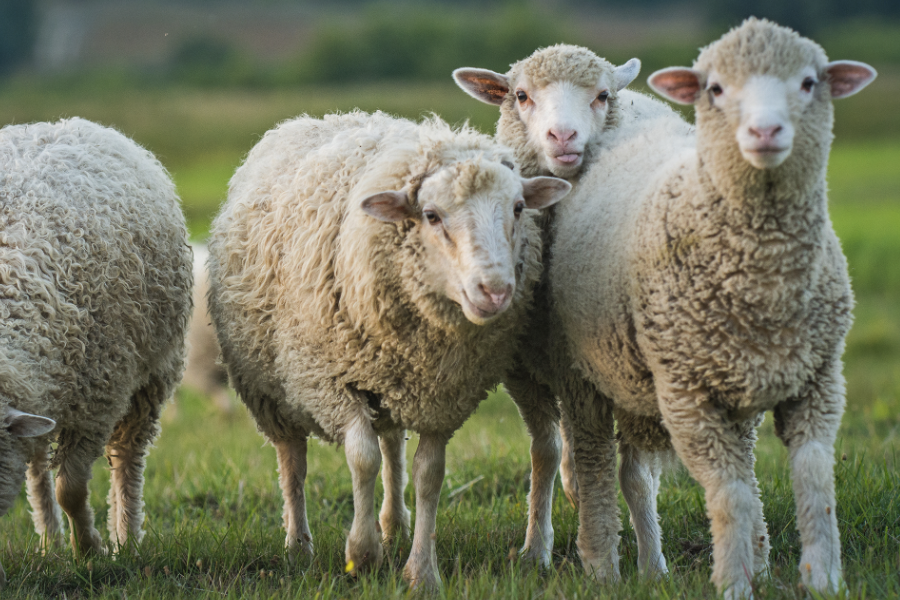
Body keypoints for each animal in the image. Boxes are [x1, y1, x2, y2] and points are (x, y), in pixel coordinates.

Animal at [0, 117, 193, 584]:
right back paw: (49, 542)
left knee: (128, 458)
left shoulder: (98, 395)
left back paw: (126, 538)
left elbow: (71, 489)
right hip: (45, 387)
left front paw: (90, 551)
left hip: (148, 376)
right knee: (36, 467)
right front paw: (72, 545)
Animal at [207, 110, 568, 588]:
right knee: (293, 461)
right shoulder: (330, 381)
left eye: (518, 208)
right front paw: (362, 555)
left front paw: (422, 572)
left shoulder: (441, 395)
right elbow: (361, 459)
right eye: (431, 215)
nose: (494, 291)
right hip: (269, 387)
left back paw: (395, 523)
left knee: (392, 442)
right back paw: (299, 544)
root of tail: (319, 118)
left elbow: (429, 475)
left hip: (390, 378)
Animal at [454, 43, 692, 572]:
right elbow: (545, 452)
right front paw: (536, 549)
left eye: (602, 95)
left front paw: (653, 565)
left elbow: (635, 476)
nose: (562, 136)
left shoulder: (621, 369)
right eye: (521, 95)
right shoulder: (524, 369)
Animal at [544, 17, 876, 596]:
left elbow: (815, 479)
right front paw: (733, 582)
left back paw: (758, 553)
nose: (765, 132)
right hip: (583, 373)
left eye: (810, 82)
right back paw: (602, 563)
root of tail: (635, 102)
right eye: (716, 89)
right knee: (593, 459)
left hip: (720, 380)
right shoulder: (687, 395)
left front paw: (822, 578)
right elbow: (728, 493)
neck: (764, 280)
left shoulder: (819, 380)